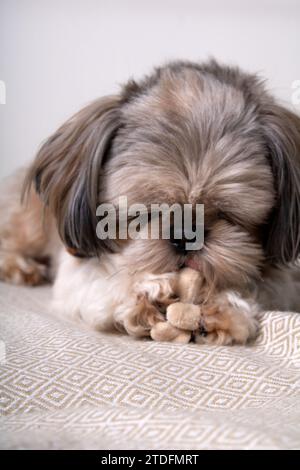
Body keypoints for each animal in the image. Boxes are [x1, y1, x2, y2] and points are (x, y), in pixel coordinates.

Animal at [0, 60, 300, 344]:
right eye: (145, 212)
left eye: (227, 213)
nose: (186, 235)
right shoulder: (78, 273)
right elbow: (110, 278)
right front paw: (148, 292)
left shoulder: (285, 282)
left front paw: (225, 306)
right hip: (29, 225)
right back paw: (21, 267)